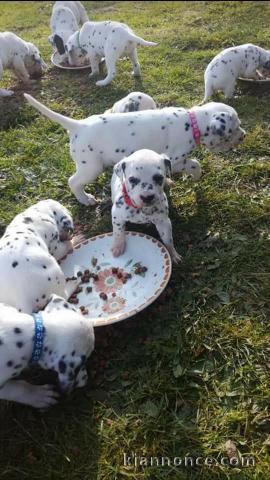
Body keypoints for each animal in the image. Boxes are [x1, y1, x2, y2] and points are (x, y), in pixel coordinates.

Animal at [24, 94, 246, 206]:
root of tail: (78, 125)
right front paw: (196, 176)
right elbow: (194, 164)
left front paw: (168, 182)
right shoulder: (176, 159)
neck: (192, 123)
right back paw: (85, 199)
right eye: (234, 129)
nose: (243, 136)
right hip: (91, 167)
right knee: (73, 181)